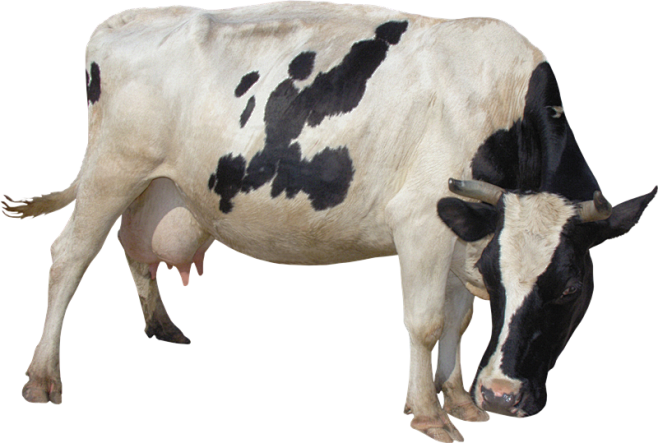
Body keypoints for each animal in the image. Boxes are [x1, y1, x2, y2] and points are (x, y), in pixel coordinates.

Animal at [1, 2, 655, 442]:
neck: (503, 106)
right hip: (113, 168)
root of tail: (124, 19)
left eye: (568, 288)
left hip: (155, 185)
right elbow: (425, 322)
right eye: (503, 280)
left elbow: (457, 319)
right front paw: (429, 412)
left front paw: (458, 399)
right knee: (70, 255)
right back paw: (43, 376)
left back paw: (161, 324)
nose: (500, 394)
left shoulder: (464, 233)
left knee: (135, 247)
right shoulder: (421, 221)